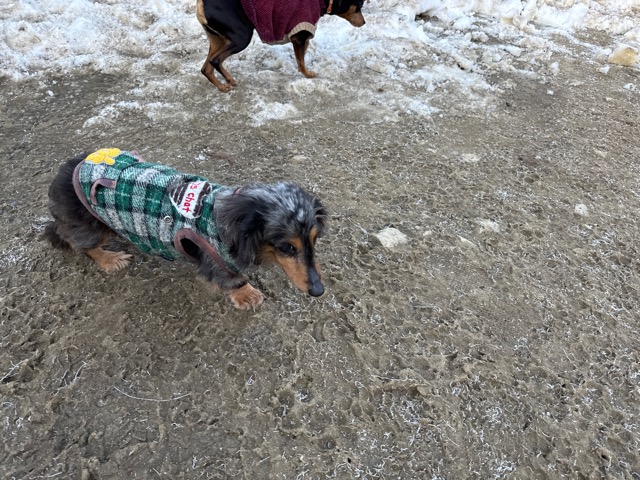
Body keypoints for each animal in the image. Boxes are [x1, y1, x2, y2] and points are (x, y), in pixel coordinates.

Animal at [43, 148, 327, 310]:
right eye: (286, 247)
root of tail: (66, 172)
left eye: (315, 240)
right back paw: (109, 258)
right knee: (78, 241)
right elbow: (231, 279)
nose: (318, 291)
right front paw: (246, 294)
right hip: (90, 224)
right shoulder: (215, 258)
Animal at [196, 0, 366, 91]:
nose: (364, 22)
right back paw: (227, 82)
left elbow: (301, 56)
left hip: (218, 39)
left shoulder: (302, 36)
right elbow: (301, 60)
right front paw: (307, 74)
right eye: (360, 6)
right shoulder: (299, 35)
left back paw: (222, 85)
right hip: (241, 37)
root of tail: (202, 3)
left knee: (206, 68)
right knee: (215, 61)